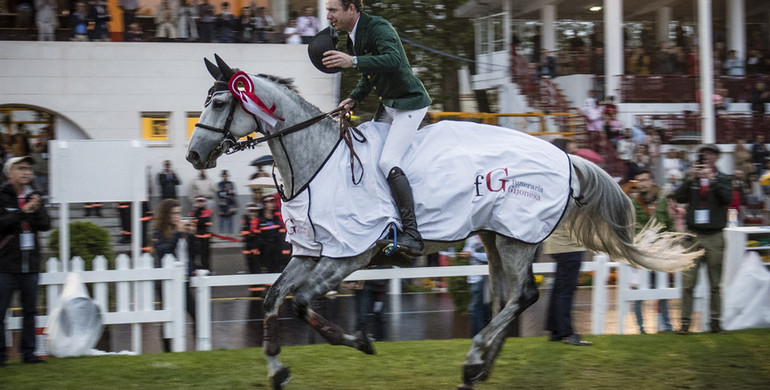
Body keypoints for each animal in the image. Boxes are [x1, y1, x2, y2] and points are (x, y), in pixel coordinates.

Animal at [186, 55, 704, 390]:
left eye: (219, 103)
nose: (193, 156)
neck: (318, 161)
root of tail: (566, 154)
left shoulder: (350, 254)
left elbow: (302, 303)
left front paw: (361, 341)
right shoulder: (311, 252)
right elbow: (273, 298)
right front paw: (277, 370)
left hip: (515, 239)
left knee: (524, 295)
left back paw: (474, 362)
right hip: (496, 238)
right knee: (507, 296)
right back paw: (481, 367)